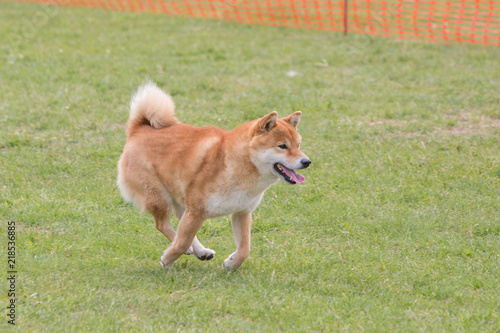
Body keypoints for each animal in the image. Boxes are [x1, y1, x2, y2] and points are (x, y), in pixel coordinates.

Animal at [117, 81, 310, 270]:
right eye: (283, 146)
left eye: (298, 145)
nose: (307, 161)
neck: (235, 163)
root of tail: (139, 129)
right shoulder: (196, 211)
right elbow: (182, 242)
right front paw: (167, 259)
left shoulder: (241, 212)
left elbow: (245, 248)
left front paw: (231, 264)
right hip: (159, 198)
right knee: (163, 225)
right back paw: (188, 250)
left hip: (180, 200)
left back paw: (201, 251)